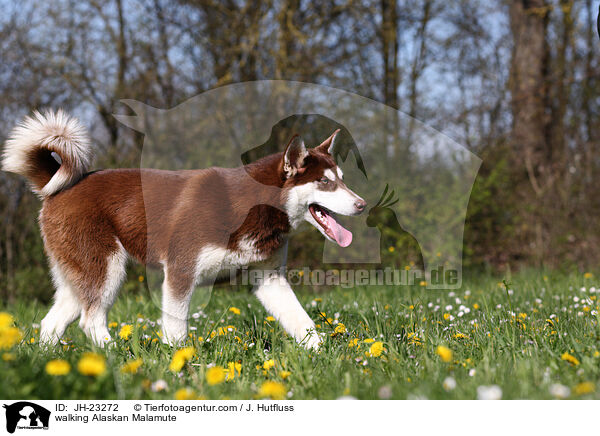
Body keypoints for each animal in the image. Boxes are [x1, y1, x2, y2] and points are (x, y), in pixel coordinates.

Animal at [1, 110, 366, 350]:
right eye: (324, 182)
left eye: (342, 178)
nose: (362, 204)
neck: (254, 204)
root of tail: (59, 187)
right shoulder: (180, 271)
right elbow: (176, 330)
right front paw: (179, 365)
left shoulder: (269, 278)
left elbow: (304, 323)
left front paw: (327, 354)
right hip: (106, 268)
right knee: (91, 320)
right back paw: (118, 357)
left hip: (80, 274)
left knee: (51, 323)